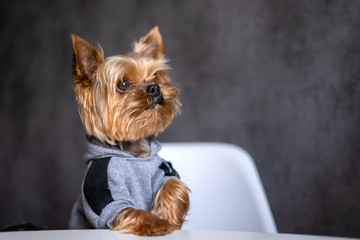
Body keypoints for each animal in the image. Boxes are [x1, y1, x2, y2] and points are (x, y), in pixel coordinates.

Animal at [68, 27, 190, 235]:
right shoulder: (104, 191)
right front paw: (156, 223)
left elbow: (173, 183)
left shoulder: (164, 171)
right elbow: (132, 211)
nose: (155, 88)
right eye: (123, 84)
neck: (135, 154)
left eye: (155, 77)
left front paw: (168, 216)